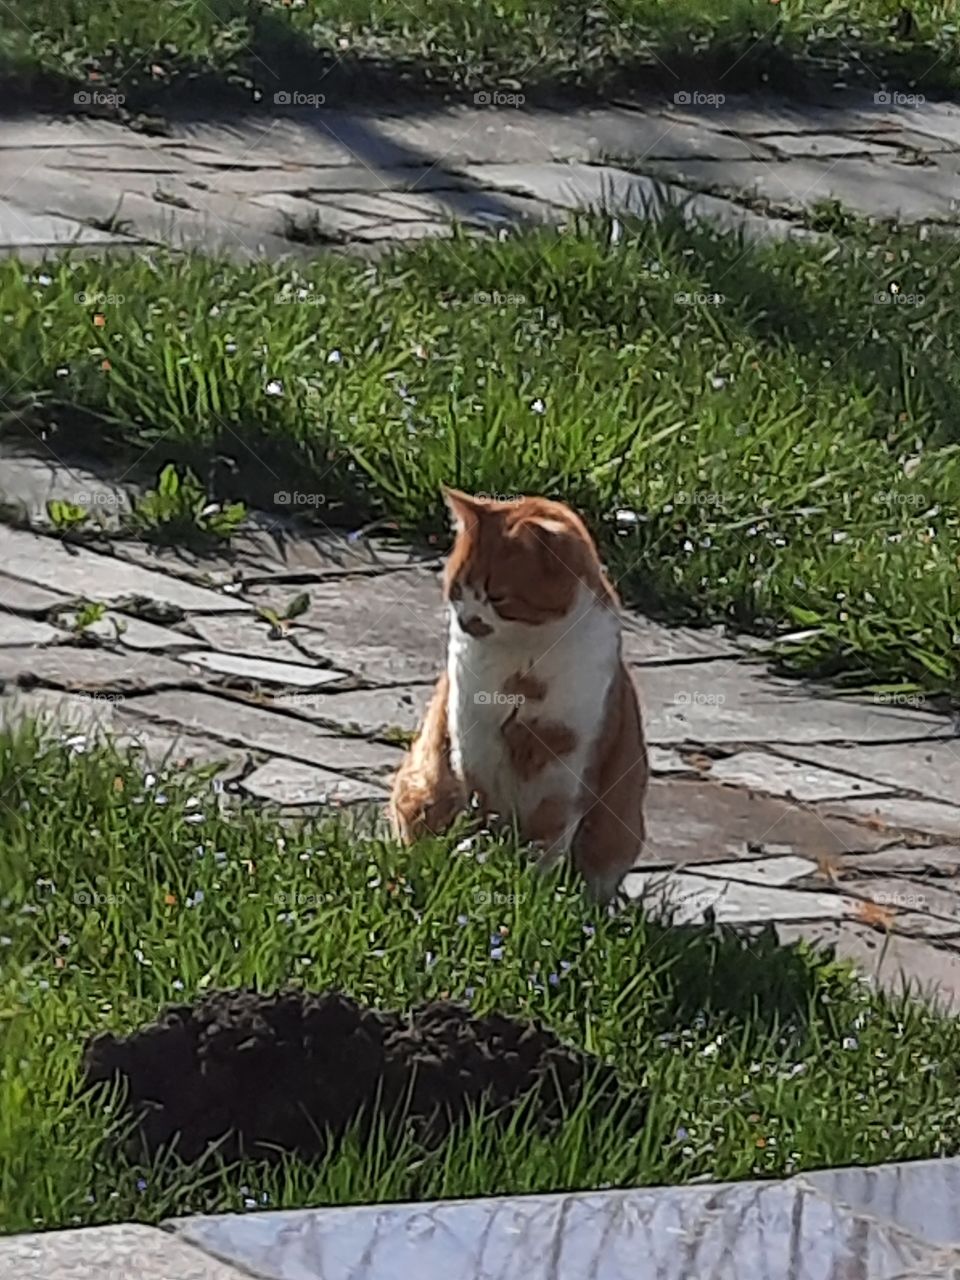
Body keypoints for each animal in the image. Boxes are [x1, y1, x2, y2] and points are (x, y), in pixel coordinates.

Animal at [386, 483, 650, 896]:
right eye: (457, 589)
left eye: (497, 596)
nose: (467, 620)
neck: (521, 666)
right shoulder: (472, 746)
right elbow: (481, 809)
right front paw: (478, 858)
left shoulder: (566, 769)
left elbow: (549, 836)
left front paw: (532, 887)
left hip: (619, 833)